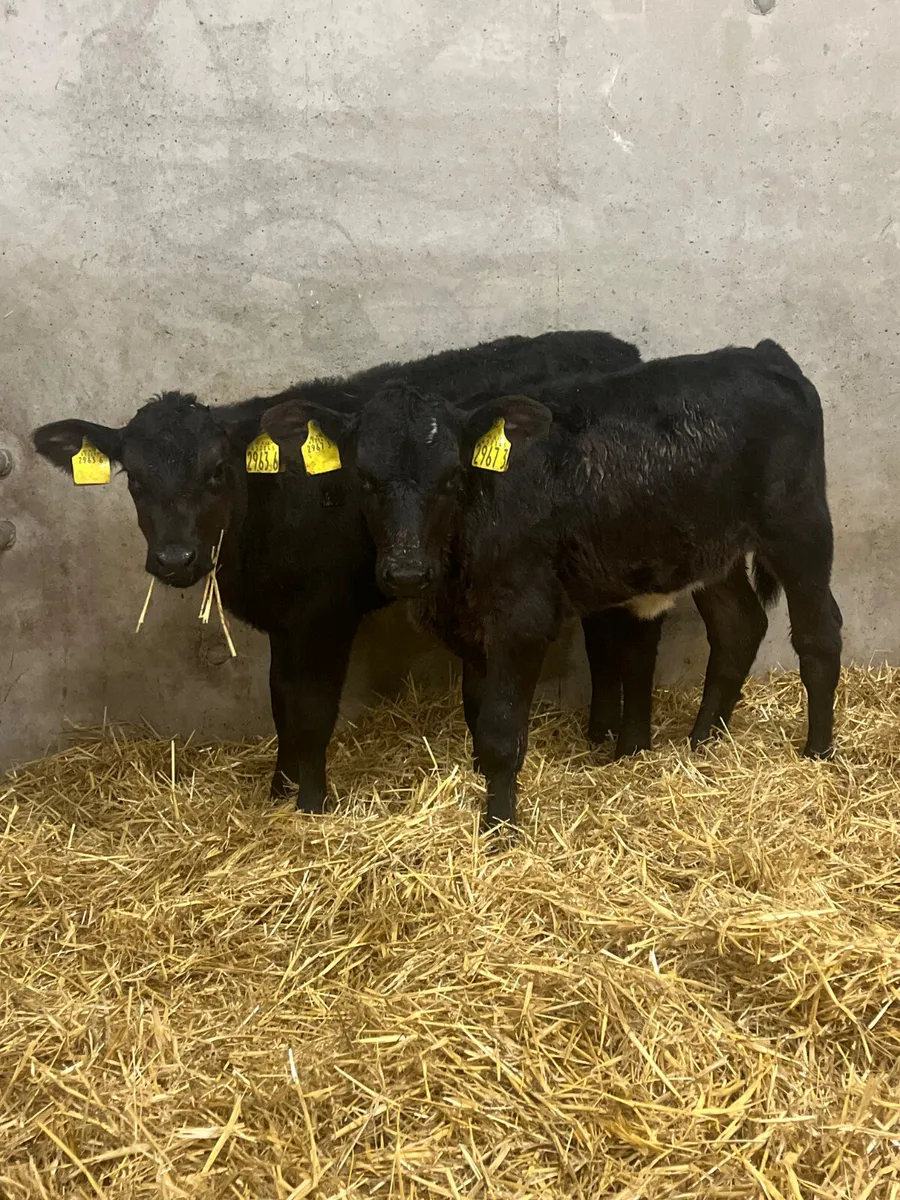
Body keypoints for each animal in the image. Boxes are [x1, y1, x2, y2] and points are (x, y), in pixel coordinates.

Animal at [33, 330, 655, 810]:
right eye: (134, 479)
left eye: (216, 471)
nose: (175, 559)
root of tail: (610, 342)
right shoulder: (285, 620)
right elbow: (281, 701)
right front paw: (279, 792)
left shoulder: (323, 614)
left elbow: (311, 710)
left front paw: (311, 805)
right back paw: (600, 737)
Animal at [261, 339, 842, 833]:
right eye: (364, 479)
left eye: (449, 477)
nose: (406, 571)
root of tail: (761, 354)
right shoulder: (473, 629)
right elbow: (479, 716)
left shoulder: (522, 618)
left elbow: (500, 730)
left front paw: (499, 829)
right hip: (712, 550)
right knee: (738, 626)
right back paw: (702, 745)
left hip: (800, 524)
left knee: (820, 633)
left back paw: (817, 753)